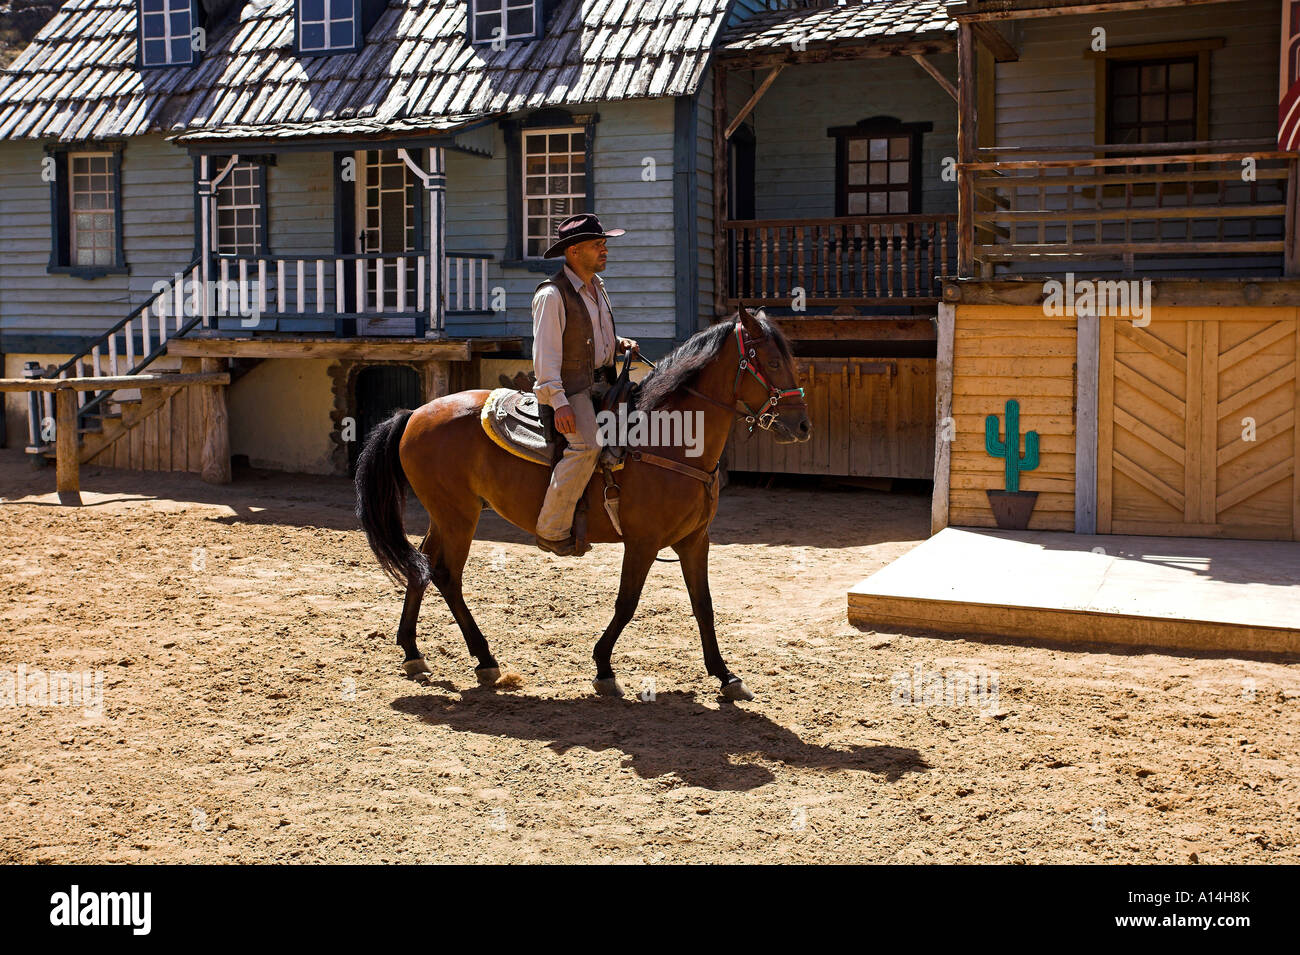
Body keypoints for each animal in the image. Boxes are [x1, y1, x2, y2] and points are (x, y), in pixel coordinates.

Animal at [351, 310, 806, 696]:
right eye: (772, 361)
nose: (801, 425)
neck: (665, 438)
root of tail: (414, 414)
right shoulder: (642, 542)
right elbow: (627, 603)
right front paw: (604, 668)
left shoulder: (695, 540)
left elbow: (704, 605)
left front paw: (726, 675)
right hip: (458, 516)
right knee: (446, 575)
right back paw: (485, 659)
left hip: (446, 514)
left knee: (421, 565)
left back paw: (413, 653)